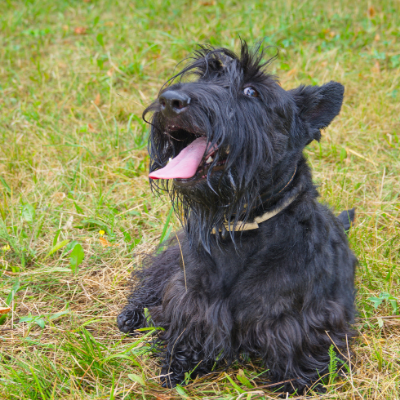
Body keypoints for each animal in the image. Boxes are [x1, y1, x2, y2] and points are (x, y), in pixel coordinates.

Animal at [117, 41, 358, 394]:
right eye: (203, 76)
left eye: (251, 91)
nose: (170, 100)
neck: (242, 231)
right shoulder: (189, 295)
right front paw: (178, 365)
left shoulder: (301, 319)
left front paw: (299, 382)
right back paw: (131, 316)